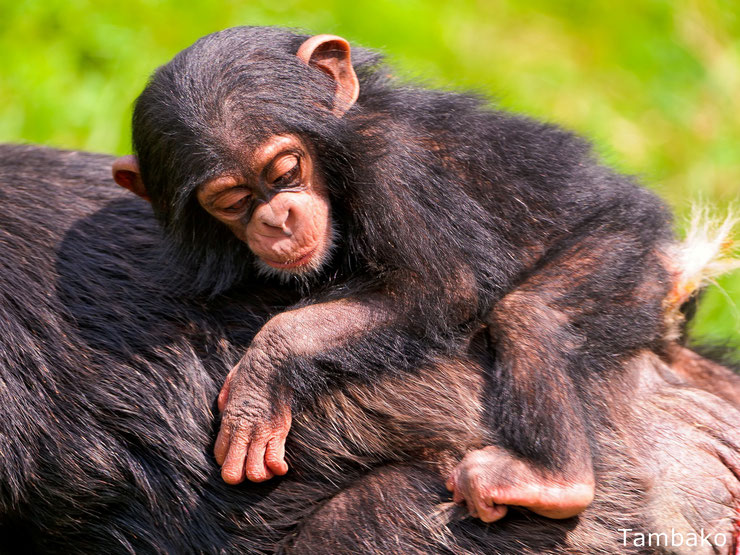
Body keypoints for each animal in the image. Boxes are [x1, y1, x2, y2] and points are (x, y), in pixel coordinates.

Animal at [112, 26, 672, 520]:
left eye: (286, 172)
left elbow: (442, 288)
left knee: (531, 313)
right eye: (233, 202)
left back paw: (552, 479)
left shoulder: (391, 165)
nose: (277, 218)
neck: (338, 158)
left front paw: (262, 374)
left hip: (626, 248)